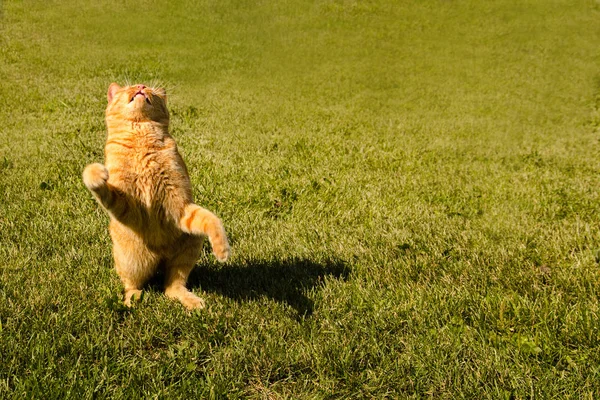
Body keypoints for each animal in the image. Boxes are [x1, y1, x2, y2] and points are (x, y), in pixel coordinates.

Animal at [85, 83, 231, 310]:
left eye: (148, 87)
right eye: (128, 87)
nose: (141, 86)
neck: (141, 137)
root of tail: (159, 259)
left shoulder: (180, 206)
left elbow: (212, 219)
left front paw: (222, 249)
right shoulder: (125, 203)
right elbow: (97, 181)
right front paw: (96, 174)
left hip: (188, 249)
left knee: (171, 287)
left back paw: (190, 300)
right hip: (131, 261)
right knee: (131, 285)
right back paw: (133, 299)